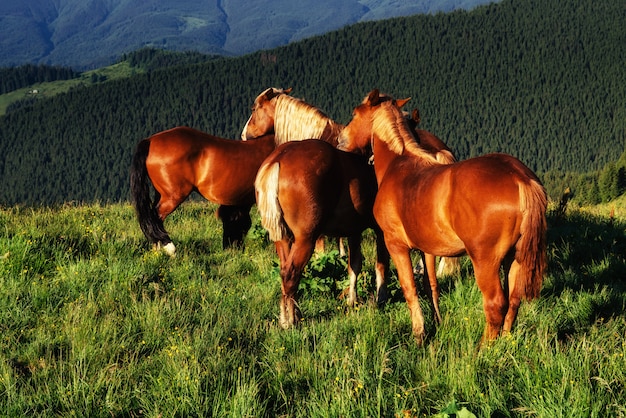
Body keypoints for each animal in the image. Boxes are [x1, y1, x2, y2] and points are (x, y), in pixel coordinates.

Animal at [336, 90, 544, 344]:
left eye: (355, 113)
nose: (340, 139)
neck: (398, 164)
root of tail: (519, 177)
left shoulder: (396, 245)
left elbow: (409, 288)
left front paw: (419, 333)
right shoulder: (427, 249)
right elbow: (430, 285)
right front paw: (437, 323)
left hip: (486, 261)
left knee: (496, 304)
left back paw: (483, 349)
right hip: (515, 257)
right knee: (514, 299)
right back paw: (504, 343)